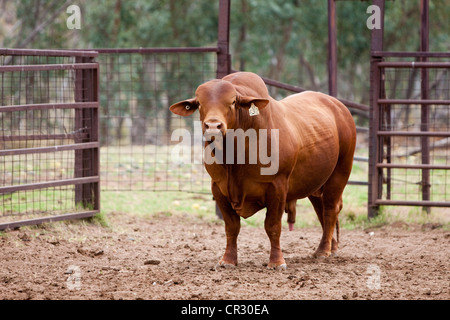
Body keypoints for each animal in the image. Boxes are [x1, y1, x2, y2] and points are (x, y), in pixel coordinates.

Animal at [171, 71, 356, 268]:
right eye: (199, 103)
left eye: (233, 102)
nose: (213, 126)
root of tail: (338, 106)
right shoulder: (218, 187)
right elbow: (232, 226)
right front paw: (228, 260)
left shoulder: (278, 186)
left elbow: (272, 226)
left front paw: (276, 262)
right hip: (315, 182)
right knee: (321, 210)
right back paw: (332, 247)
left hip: (341, 172)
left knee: (330, 209)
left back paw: (323, 250)